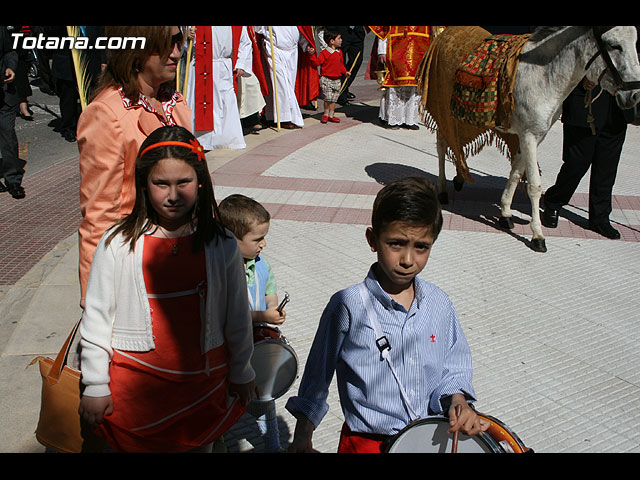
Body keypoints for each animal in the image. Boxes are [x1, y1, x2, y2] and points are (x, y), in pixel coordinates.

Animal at [420, 25, 640, 251]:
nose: (634, 95)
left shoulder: (535, 135)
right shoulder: (529, 135)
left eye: (635, 42)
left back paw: (459, 176)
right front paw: (538, 235)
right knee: (442, 145)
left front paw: (506, 214)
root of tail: (445, 33)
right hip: (442, 107)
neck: (544, 76)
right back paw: (443, 189)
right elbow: (534, 184)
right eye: (614, 45)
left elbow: (517, 172)